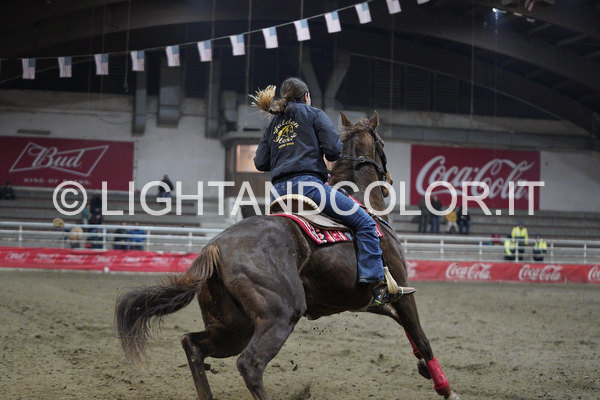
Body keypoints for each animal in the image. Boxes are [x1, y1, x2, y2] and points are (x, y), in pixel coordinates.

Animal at [115, 111, 460, 400]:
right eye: (382, 143)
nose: (388, 181)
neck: (364, 203)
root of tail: (217, 247)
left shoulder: (371, 299)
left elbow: (410, 333)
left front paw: (422, 368)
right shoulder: (400, 290)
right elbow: (421, 337)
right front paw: (445, 388)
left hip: (233, 326)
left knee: (193, 346)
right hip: (279, 314)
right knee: (250, 365)